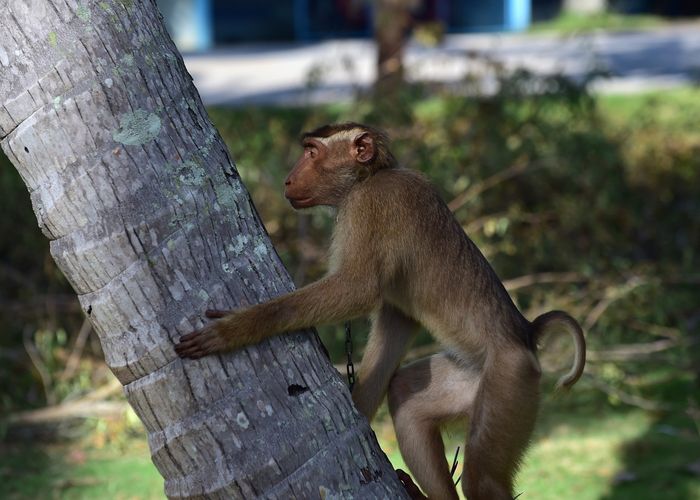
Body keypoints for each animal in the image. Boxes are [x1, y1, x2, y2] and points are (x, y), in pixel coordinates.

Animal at [175, 122, 584, 500]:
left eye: (311, 152)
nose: (288, 179)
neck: (370, 176)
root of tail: (526, 333)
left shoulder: (368, 206)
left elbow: (358, 290)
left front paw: (236, 328)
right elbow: (397, 319)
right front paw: (358, 410)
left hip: (509, 381)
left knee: (482, 481)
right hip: (479, 378)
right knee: (406, 396)